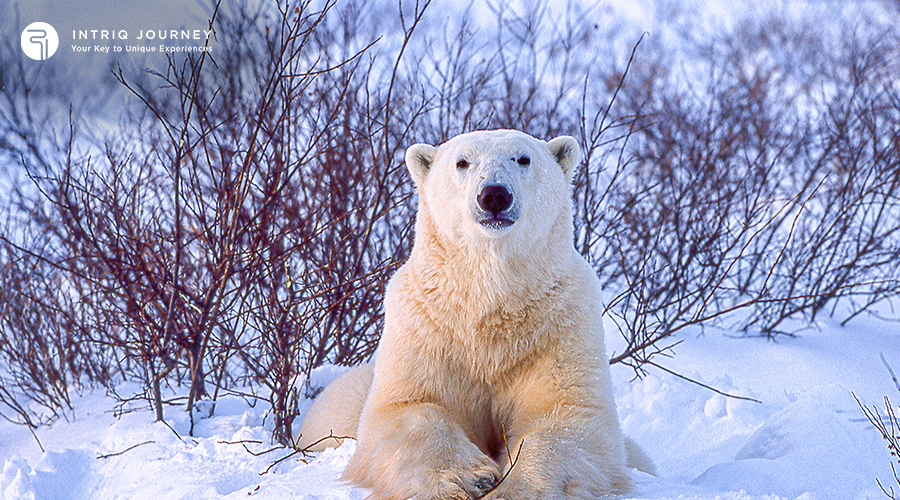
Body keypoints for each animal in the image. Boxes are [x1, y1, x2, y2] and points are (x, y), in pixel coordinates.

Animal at [298, 131, 648, 498]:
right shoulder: (426, 327)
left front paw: (513, 486)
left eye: (523, 158)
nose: (494, 195)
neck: (489, 304)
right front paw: (468, 477)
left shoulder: (559, 325)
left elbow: (568, 415)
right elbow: (408, 407)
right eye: (462, 162)